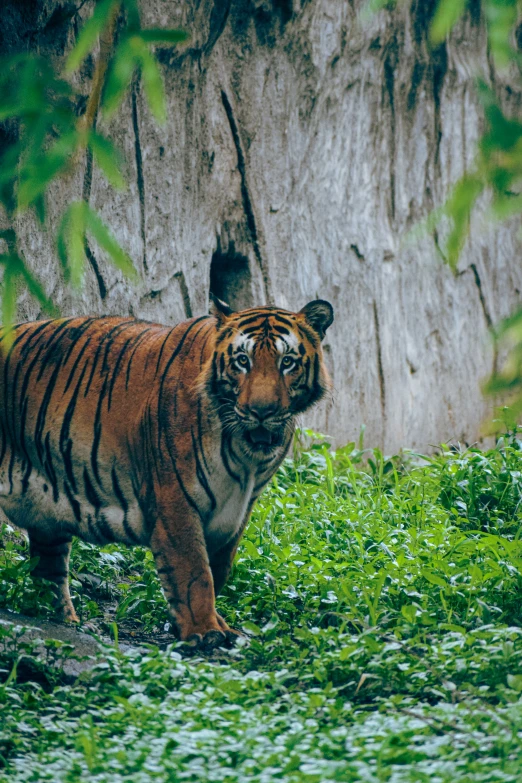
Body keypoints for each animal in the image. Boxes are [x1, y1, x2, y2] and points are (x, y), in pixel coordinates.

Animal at [0, 298, 334, 648]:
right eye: (243, 360)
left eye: (287, 362)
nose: (261, 412)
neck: (248, 457)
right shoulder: (175, 499)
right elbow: (193, 571)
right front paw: (204, 630)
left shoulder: (239, 510)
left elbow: (219, 568)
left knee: (48, 572)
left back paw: (67, 622)